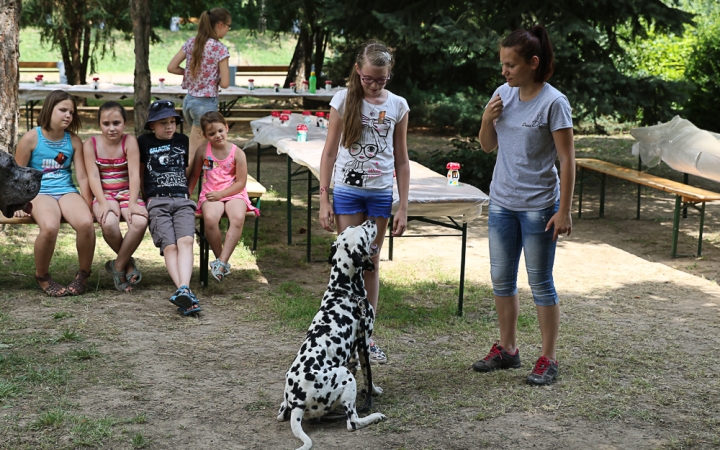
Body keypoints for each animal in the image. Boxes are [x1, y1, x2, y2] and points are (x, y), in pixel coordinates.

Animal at [278, 221, 388, 450]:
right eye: (364, 231)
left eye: (357, 226)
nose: (371, 221)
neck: (344, 290)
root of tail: (297, 403)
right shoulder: (364, 343)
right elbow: (368, 375)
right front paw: (373, 391)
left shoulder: (354, 351)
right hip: (345, 377)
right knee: (352, 422)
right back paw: (373, 416)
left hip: (285, 405)